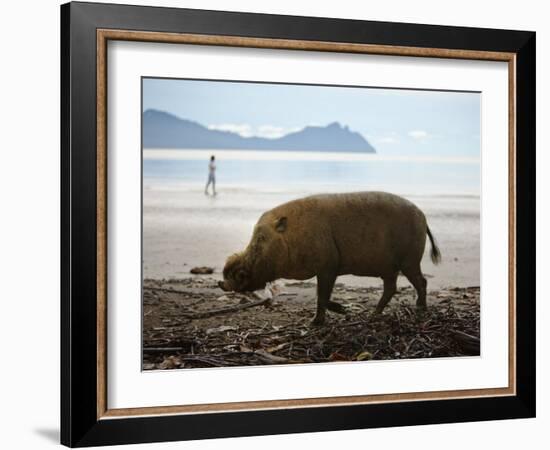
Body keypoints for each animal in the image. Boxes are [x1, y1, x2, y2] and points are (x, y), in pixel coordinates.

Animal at [218, 192, 442, 326]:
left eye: (261, 239)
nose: (223, 283)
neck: (293, 236)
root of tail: (423, 217)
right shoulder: (326, 269)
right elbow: (323, 296)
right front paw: (339, 311)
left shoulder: (328, 266)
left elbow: (322, 295)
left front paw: (313, 323)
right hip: (390, 268)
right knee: (391, 288)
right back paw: (374, 315)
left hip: (410, 260)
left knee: (421, 281)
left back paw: (419, 309)